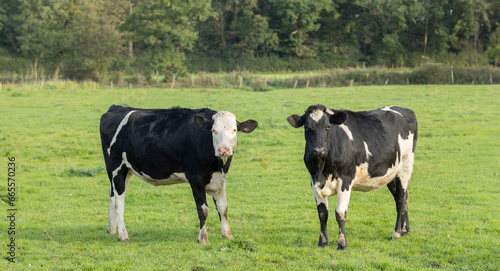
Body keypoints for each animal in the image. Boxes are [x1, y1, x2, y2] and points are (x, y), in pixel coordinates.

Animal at [100, 105, 260, 244]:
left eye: (234, 130)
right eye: (214, 130)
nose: (223, 149)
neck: (218, 165)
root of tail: (117, 107)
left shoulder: (220, 179)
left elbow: (223, 208)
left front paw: (227, 235)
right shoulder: (196, 178)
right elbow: (203, 210)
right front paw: (203, 238)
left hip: (127, 170)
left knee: (111, 194)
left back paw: (111, 229)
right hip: (116, 167)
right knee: (119, 201)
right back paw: (123, 235)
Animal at [288, 104, 416, 251]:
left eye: (327, 127)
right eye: (307, 128)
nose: (319, 150)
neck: (322, 170)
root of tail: (404, 109)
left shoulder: (345, 180)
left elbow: (340, 214)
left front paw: (342, 243)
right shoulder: (314, 183)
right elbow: (322, 214)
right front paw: (322, 243)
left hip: (405, 168)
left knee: (400, 200)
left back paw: (396, 233)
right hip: (392, 174)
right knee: (404, 197)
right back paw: (405, 230)